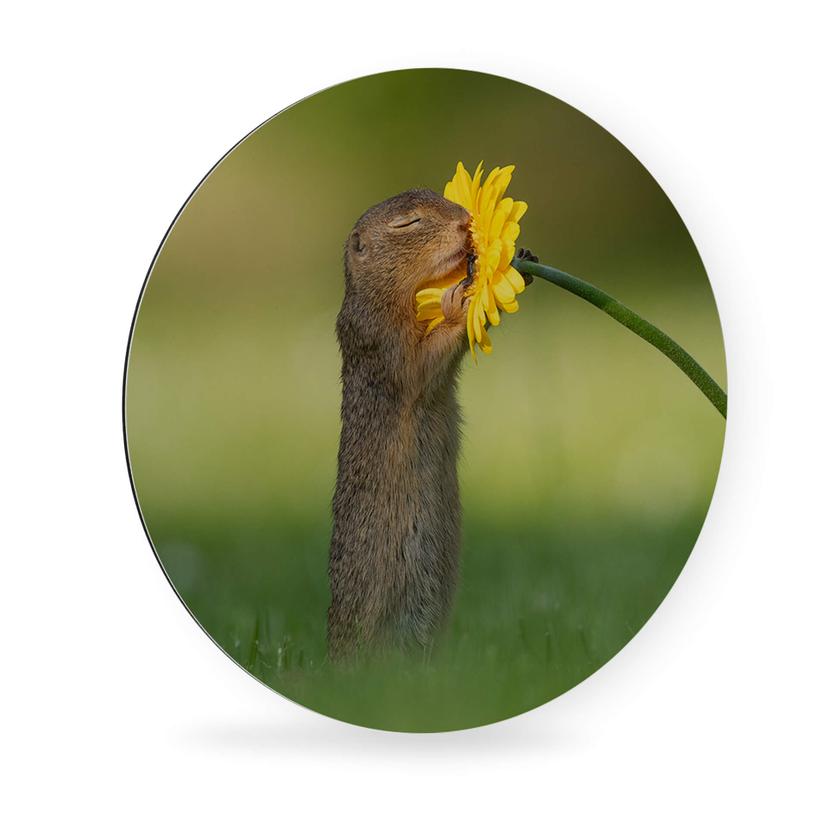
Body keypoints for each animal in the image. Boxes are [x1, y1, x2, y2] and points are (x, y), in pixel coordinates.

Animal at [327, 187, 534, 660]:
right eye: (408, 223)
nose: (464, 222)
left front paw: (520, 260)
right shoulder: (382, 341)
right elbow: (420, 365)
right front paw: (459, 301)